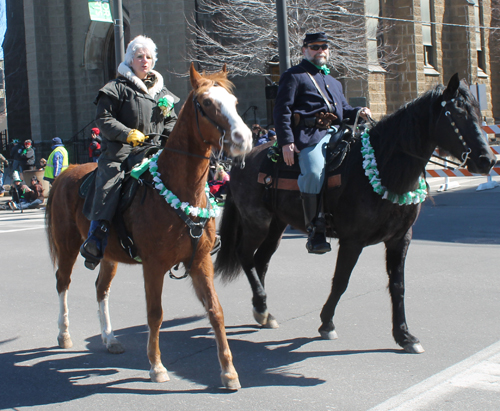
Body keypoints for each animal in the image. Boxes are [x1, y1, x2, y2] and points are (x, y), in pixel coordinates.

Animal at [45, 63, 252, 390]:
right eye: (206, 103)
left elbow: (215, 311)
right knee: (62, 283)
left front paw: (229, 372)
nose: (243, 137)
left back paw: (109, 338)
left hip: (109, 256)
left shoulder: (199, 261)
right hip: (67, 246)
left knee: (101, 289)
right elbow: (155, 314)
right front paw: (156, 366)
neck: (179, 190)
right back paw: (64, 334)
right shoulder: (154, 266)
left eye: (234, 102)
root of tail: (66, 172)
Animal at [215, 75, 496, 354]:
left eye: (477, 112)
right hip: (257, 222)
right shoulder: (352, 241)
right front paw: (327, 323)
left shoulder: (401, 239)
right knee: (245, 255)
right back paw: (261, 305)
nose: (488, 160)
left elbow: (398, 285)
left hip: (277, 225)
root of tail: (243, 158)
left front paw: (404, 336)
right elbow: (341, 281)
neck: (384, 167)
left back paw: (263, 311)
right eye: (455, 113)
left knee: (260, 260)